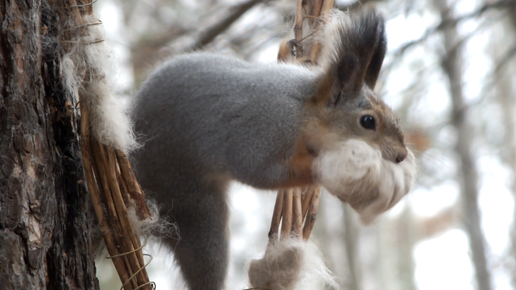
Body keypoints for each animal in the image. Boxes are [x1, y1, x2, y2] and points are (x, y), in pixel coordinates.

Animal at [131, 7, 418, 290]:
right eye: (368, 121)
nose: (401, 155)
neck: (304, 107)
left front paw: (290, 49)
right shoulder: (263, 131)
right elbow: (260, 172)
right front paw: (321, 170)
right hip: (195, 208)